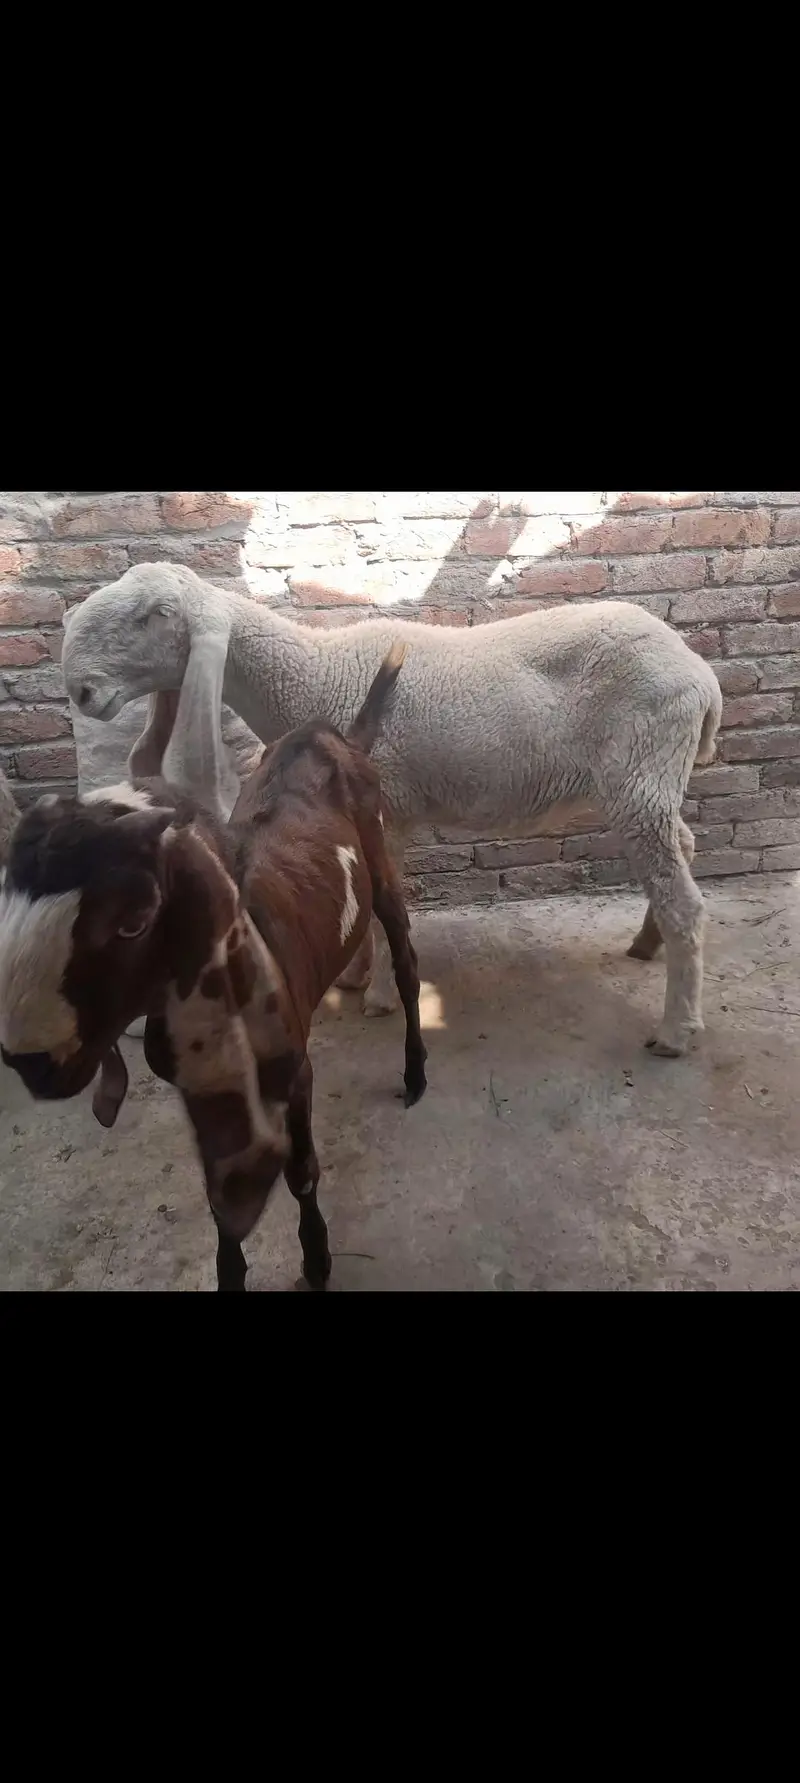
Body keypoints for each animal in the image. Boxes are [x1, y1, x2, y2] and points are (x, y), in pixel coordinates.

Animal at [0, 645, 427, 1292]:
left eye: (133, 921)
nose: (30, 1060)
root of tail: (330, 734)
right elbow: (220, 1194)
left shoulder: (293, 1071)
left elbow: (301, 1170)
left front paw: (317, 1261)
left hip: (379, 855)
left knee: (405, 962)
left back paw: (415, 1072)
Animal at [61, 560, 723, 1058]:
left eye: (154, 615)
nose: (81, 691)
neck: (315, 675)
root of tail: (701, 673)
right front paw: (356, 975)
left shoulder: (387, 807)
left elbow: (382, 908)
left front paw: (376, 996)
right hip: (653, 781)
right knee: (684, 851)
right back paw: (648, 945)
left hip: (642, 772)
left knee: (685, 900)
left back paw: (677, 1028)